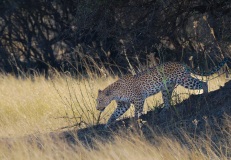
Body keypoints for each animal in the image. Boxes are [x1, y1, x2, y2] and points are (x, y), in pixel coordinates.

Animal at [95, 57, 229, 127]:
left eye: (100, 101)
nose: (97, 108)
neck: (114, 93)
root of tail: (181, 63)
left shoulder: (139, 99)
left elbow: (137, 111)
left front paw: (135, 121)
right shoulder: (123, 105)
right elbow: (114, 114)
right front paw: (107, 124)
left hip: (184, 80)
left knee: (203, 83)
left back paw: (205, 95)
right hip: (166, 88)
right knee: (167, 101)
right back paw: (164, 110)